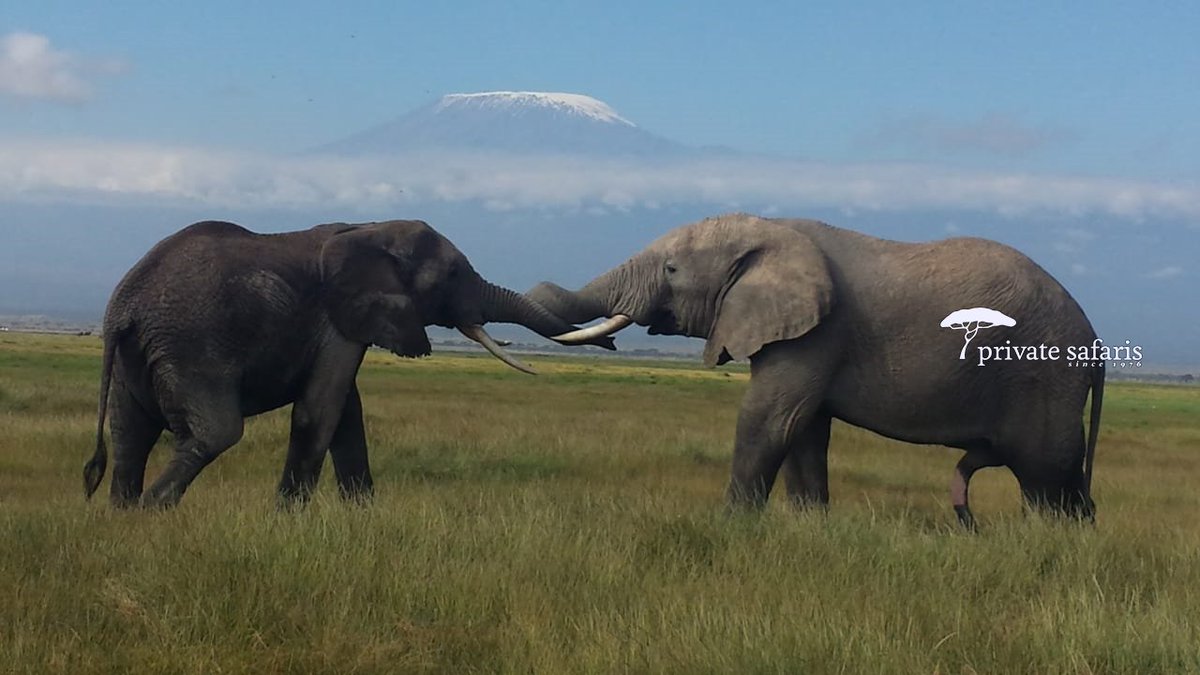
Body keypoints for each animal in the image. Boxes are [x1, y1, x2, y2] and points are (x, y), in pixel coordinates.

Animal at [83, 218, 609, 506]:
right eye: (453, 275)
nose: (613, 344)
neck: (367, 228)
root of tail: (121, 308)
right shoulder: (336, 319)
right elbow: (321, 411)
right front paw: (285, 525)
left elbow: (347, 415)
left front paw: (365, 519)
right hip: (192, 349)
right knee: (215, 433)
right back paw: (152, 511)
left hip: (138, 357)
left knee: (129, 439)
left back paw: (124, 519)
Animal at [528, 212, 1104, 523]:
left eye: (671, 269)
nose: (613, 344)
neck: (771, 230)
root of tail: (1094, 340)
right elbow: (804, 431)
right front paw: (810, 527)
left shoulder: (818, 333)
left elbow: (769, 420)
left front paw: (732, 526)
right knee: (1063, 478)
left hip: (1039, 374)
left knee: (1045, 473)